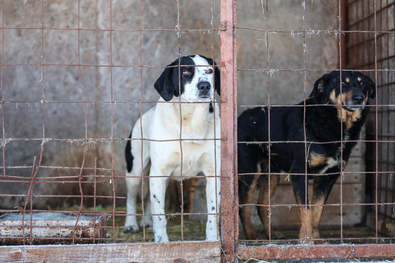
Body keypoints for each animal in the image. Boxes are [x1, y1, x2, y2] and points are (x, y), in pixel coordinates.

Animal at [124, 54, 221, 242]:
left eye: (209, 71)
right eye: (185, 72)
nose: (205, 86)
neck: (191, 123)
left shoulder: (213, 174)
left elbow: (213, 214)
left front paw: (212, 240)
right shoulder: (158, 173)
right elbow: (160, 216)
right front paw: (162, 241)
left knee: (149, 200)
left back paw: (147, 221)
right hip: (135, 172)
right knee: (132, 198)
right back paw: (131, 224)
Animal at [240, 70, 376, 243]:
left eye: (363, 83)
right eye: (341, 83)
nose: (359, 98)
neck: (334, 121)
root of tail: (241, 117)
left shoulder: (328, 178)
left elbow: (317, 211)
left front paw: (316, 240)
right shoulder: (299, 174)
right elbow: (307, 211)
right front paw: (306, 240)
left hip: (272, 175)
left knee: (261, 205)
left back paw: (272, 234)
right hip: (250, 172)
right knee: (243, 206)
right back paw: (250, 234)